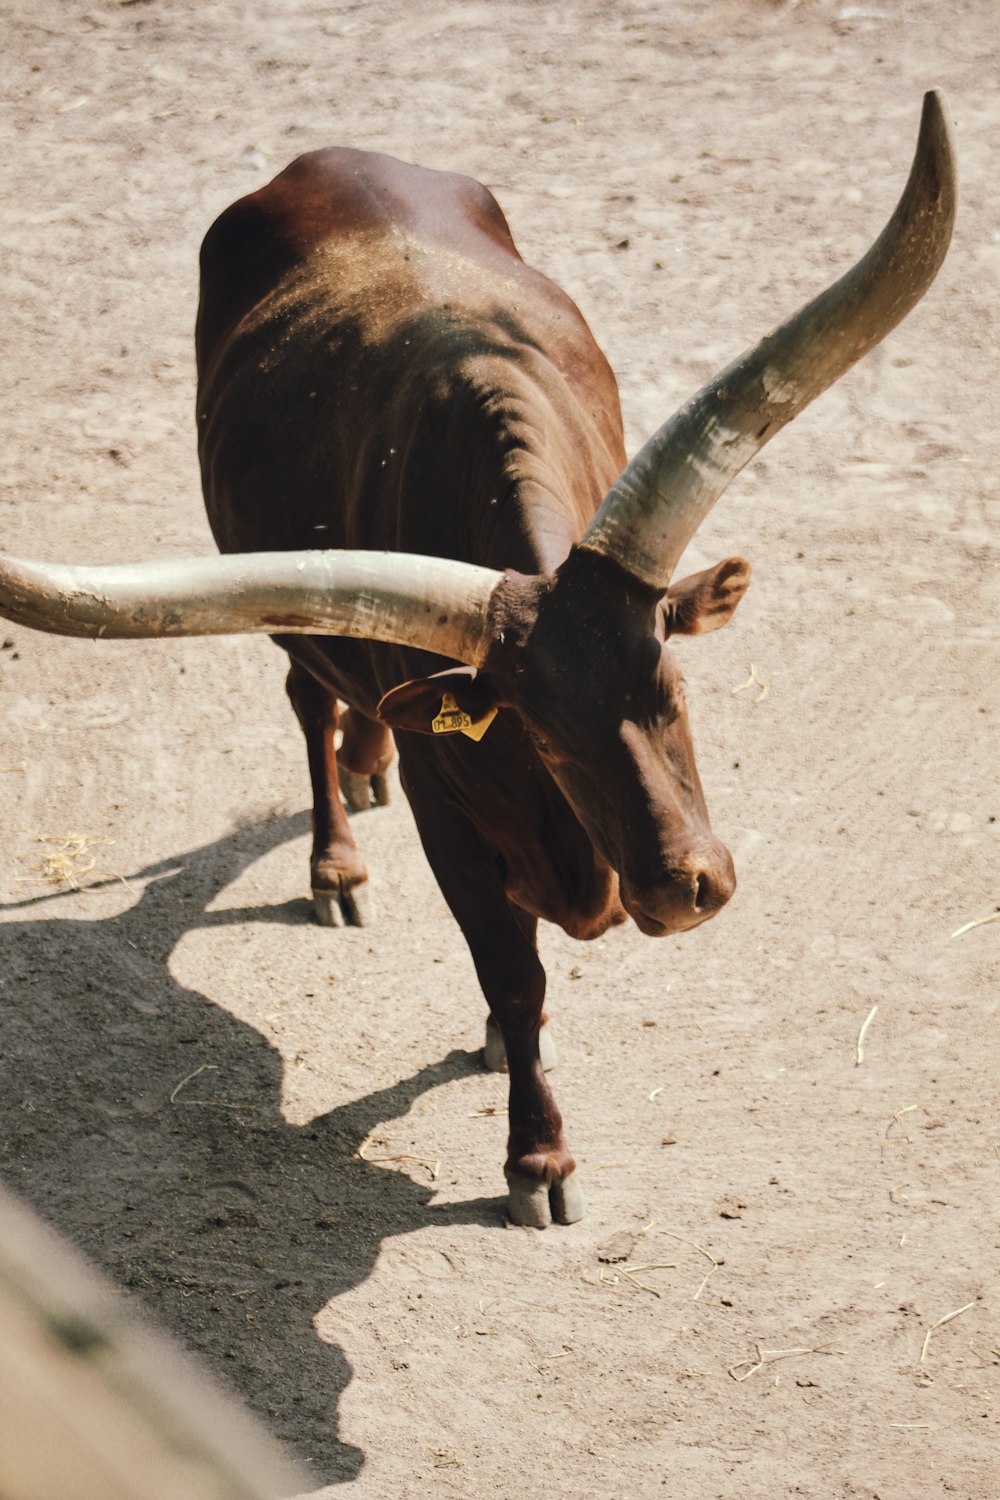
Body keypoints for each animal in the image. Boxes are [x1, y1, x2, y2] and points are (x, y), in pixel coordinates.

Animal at [0, 93, 953, 1224]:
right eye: (538, 734)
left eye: (673, 684)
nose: (689, 887)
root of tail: (324, 158)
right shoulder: (447, 810)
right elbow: (514, 974)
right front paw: (537, 1157)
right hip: (288, 614)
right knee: (307, 701)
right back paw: (336, 858)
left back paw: (364, 762)